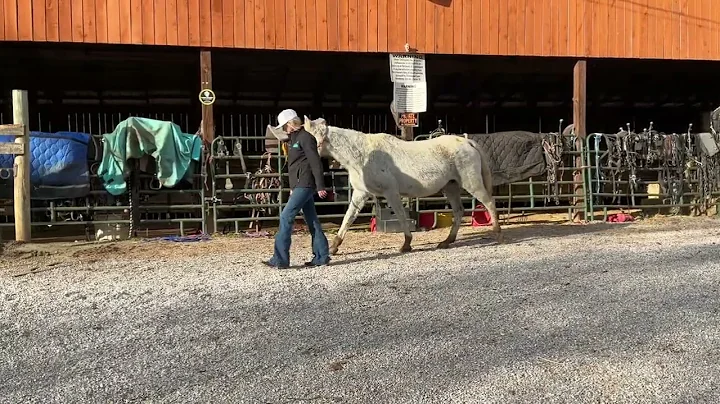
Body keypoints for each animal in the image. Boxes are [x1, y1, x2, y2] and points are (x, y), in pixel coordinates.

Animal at [302, 116, 502, 255]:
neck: (364, 154)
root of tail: (467, 141)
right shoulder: (360, 193)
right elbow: (348, 218)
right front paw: (334, 247)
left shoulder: (391, 192)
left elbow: (400, 215)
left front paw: (406, 244)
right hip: (450, 187)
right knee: (459, 211)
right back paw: (447, 241)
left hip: (471, 183)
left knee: (489, 202)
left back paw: (497, 233)